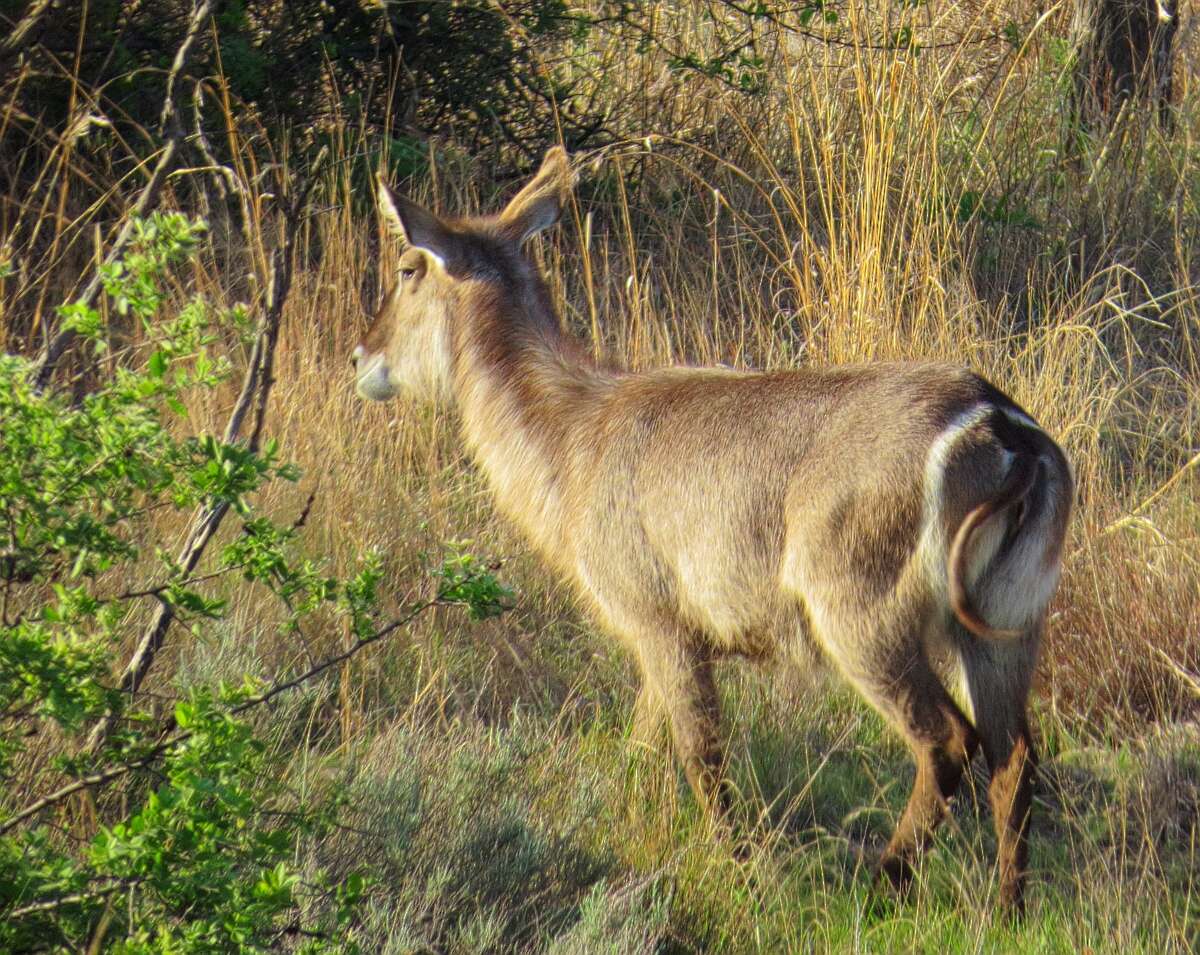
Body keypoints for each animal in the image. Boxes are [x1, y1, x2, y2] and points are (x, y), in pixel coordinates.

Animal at [350, 149, 1075, 911]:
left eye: (407, 267)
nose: (361, 357)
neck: (572, 436)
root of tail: (1001, 427)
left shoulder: (658, 621)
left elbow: (701, 753)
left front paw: (741, 871)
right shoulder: (669, 637)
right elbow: (644, 746)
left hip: (864, 619)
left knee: (947, 741)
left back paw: (883, 883)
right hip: (1005, 620)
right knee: (1014, 756)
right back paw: (1007, 910)